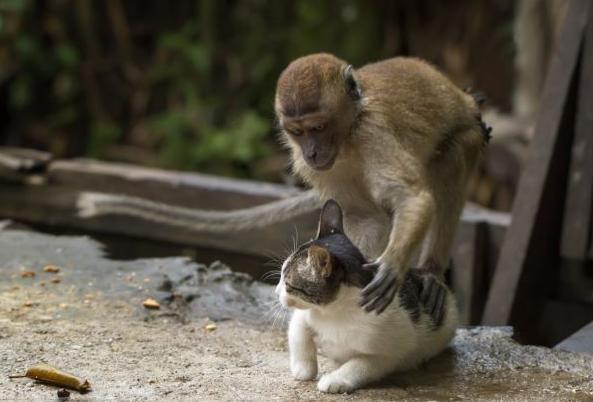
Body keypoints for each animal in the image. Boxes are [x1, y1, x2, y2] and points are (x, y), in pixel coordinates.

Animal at [77, 53, 486, 316]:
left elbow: (413, 199)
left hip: (472, 134)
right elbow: (364, 218)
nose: (312, 152)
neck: (349, 133)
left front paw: (391, 268)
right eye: (297, 132)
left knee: (454, 153)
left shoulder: (375, 134)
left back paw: (430, 272)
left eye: (318, 127)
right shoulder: (322, 167)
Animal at [274, 199, 458, 394]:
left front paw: (335, 379)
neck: (333, 312)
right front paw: (303, 369)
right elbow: (299, 332)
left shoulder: (393, 348)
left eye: (288, 284)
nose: (276, 292)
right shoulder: (305, 314)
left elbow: (362, 364)